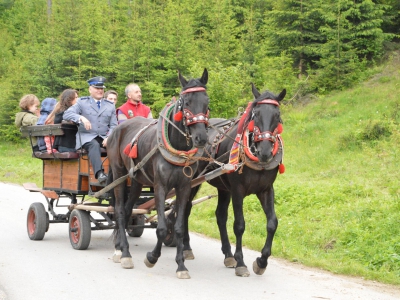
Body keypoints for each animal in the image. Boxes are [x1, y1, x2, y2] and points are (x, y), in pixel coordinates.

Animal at [108, 68, 211, 278]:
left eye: (207, 101)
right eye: (186, 102)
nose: (201, 138)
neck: (177, 148)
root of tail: (118, 129)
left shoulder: (184, 187)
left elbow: (178, 227)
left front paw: (181, 265)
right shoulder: (160, 187)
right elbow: (162, 228)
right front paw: (152, 258)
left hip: (136, 180)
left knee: (129, 209)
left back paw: (119, 246)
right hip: (118, 174)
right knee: (120, 211)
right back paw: (124, 253)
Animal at [183, 84, 286, 276]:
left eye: (277, 115)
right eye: (256, 114)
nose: (265, 152)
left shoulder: (266, 190)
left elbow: (272, 223)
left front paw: (261, 262)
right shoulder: (238, 190)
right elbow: (239, 225)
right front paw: (241, 262)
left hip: (223, 188)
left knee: (220, 216)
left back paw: (228, 254)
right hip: (191, 181)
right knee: (185, 209)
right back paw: (186, 247)